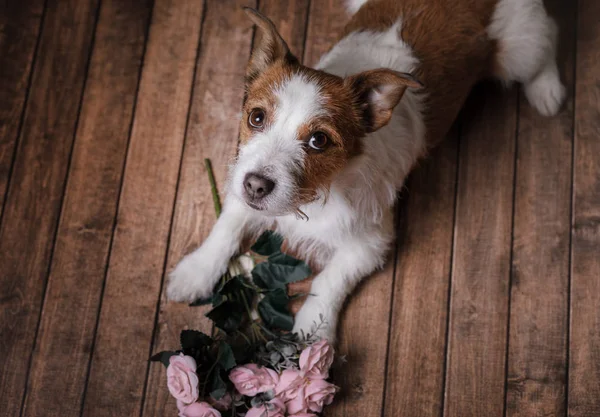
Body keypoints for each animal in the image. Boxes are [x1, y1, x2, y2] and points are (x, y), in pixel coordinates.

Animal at [166, 0, 564, 342]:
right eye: (257, 117)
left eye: (318, 141)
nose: (256, 186)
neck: (317, 195)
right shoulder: (242, 181)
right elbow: (227, 225)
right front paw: (195, 271)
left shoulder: (369, 243)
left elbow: (328, 281)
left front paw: (314, 331)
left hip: (519, 48)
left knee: (547, 40)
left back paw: (547, 90)